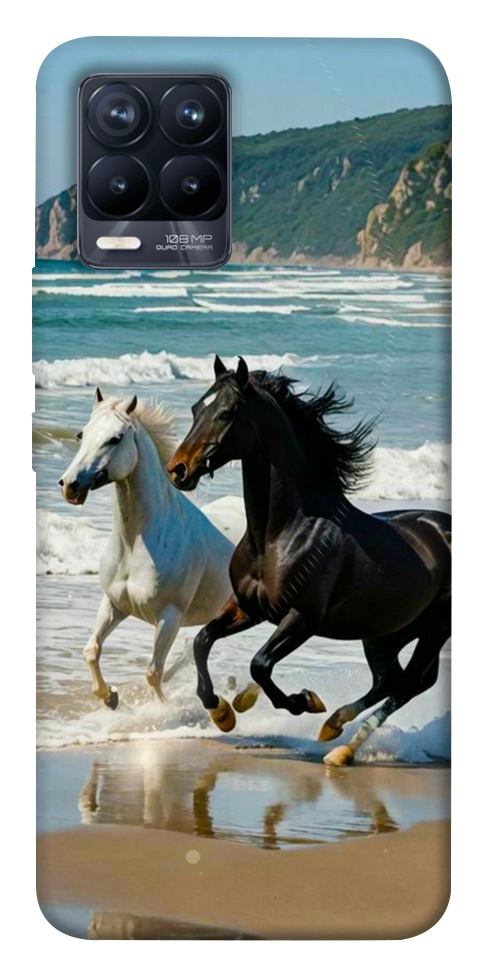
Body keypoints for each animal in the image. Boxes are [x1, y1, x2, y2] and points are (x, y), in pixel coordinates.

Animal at [59, 388, 234, 709]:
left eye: (115, 438)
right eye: (81, 434)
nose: (69, 485)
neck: (135, 544)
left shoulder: (169, 618)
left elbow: (153, 672)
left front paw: (161, 711)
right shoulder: (114, 604)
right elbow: (91, 650)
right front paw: (110, 697)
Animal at [166, 356, 451, 765]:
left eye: (226, 413)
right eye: (195, 409)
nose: (178, 469)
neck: (279, 534)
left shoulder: (302, 618)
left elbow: (260, 664)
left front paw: (303, 702)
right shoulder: (248, 608)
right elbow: (203, 641)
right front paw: (222, 712)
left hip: (433, 630)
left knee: (409, 683)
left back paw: (341, 746)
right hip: (385, 633)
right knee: (391, 679)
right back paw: (334, 729)